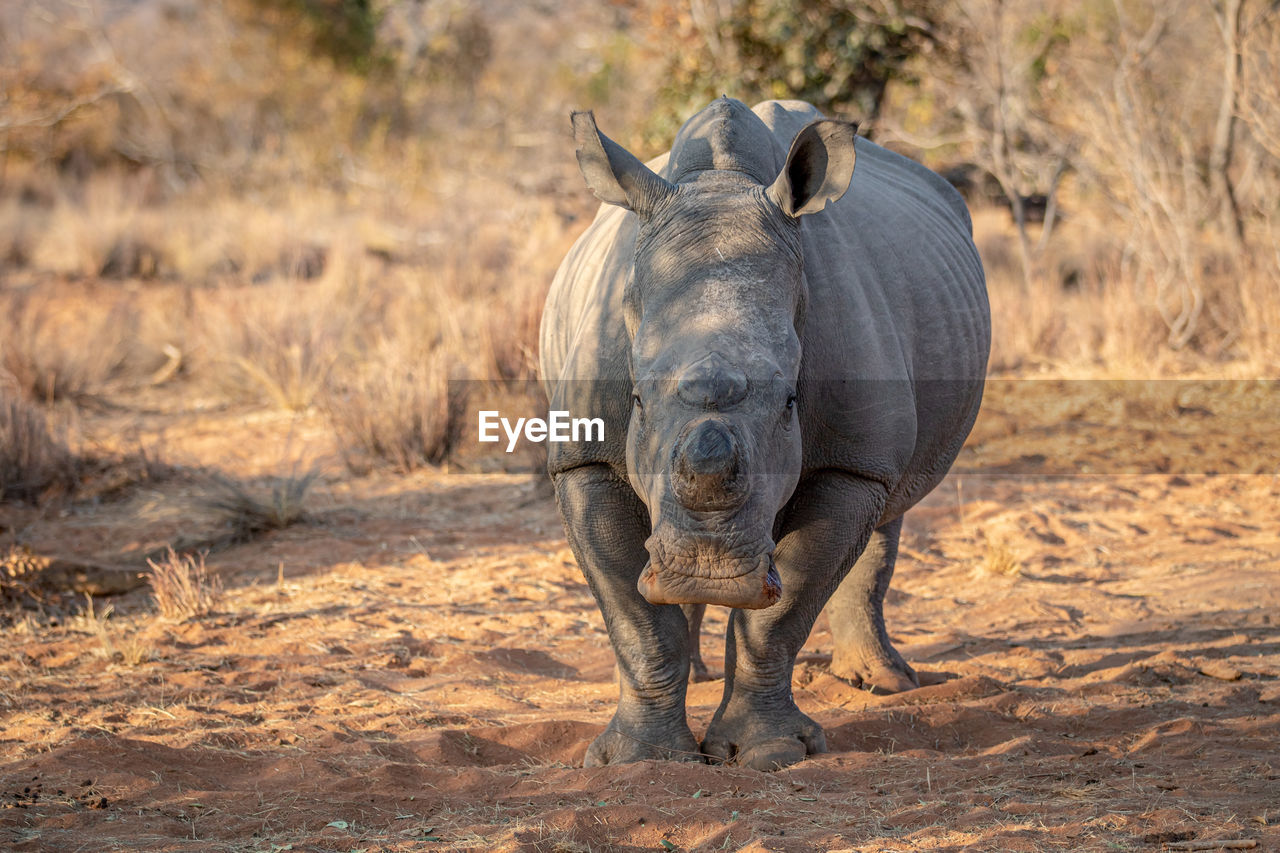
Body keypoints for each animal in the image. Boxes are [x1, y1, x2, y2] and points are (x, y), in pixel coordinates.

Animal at [540, 96, 988, 768]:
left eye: (791, 402)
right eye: (637, 400)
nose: (707, 570)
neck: (721, 185)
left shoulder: (852, 462)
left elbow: (784, 610)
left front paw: (769, 752)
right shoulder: (583, 458)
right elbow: (634, 614)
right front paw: (639, 760)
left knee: (888, 511)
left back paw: (885, 684)